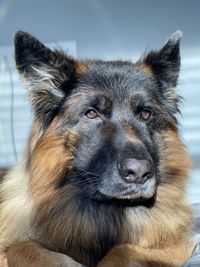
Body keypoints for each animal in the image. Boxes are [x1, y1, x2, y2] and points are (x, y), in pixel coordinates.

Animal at [0, 31, 195, 267]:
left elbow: (123, 250)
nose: (140, 172)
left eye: (146, 114)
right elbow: (22, 246)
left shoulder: (176, 245)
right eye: (92, 113)